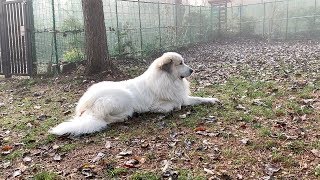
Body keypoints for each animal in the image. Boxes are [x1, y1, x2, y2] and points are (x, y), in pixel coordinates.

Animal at [49, 51, 220, 136]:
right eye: (180, 63)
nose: (192, 70)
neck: (168, 79)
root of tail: (88, 103)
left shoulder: (183, 97)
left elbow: (198, 98)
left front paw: (212, 99)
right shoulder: (159, 105)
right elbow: (174, 105)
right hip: (124, 97)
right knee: (106, 119)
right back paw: (125, 116)